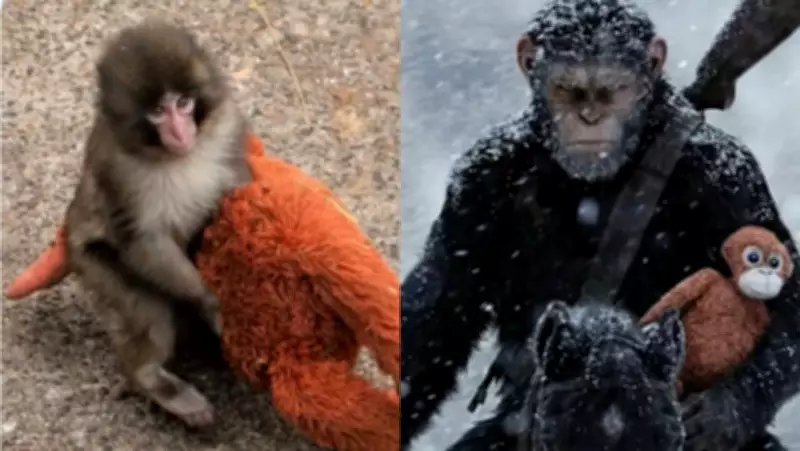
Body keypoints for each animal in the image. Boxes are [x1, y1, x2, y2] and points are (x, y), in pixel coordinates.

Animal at [63, 20, 251, 427]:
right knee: (147, 309)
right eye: (157, 112)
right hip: (91, 262)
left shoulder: (227, 125)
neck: (175, 157)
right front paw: (210, 301)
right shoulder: (117, 168)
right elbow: (143, 240)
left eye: (182, 104)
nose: (181, 132)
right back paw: (149, 378)